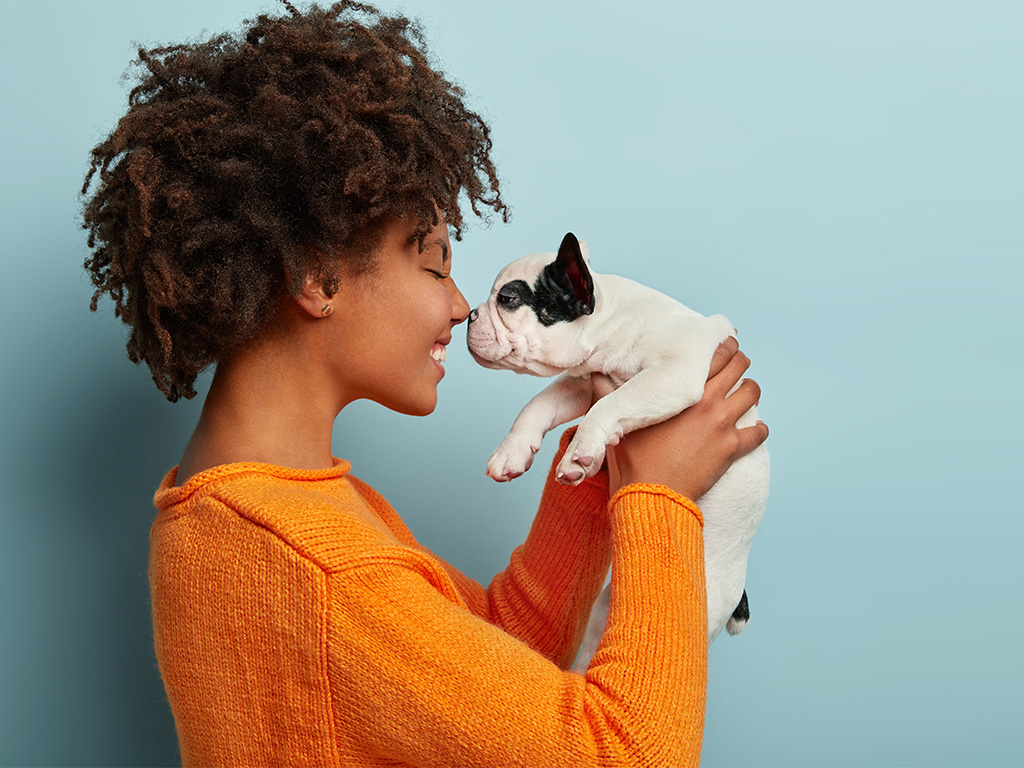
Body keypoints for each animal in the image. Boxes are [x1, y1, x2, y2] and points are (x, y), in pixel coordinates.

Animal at [464, 233, 770, 667]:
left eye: (507, 299)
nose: (470, 315)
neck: (612, 325)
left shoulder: (672, 375)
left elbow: (610, 405)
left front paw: (580, 453)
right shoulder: (581, 384)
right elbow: (538, 405)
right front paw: (512, 451)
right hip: (604, 612)